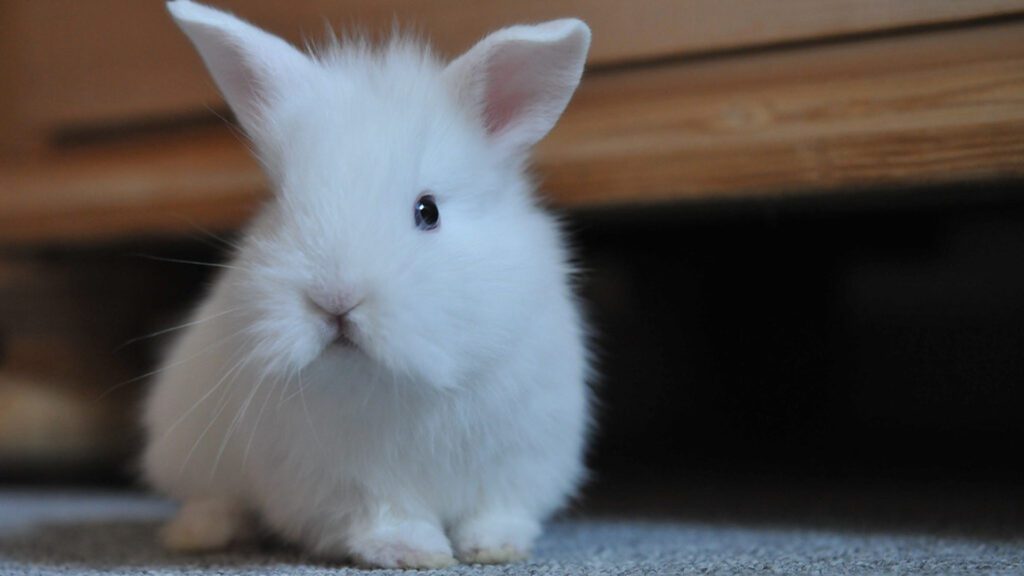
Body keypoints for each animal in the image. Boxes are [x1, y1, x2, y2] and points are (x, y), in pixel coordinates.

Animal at [142, 0, 592, 569]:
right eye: (281, 208)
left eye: (428, 211)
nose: (334, 301)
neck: (395, 383)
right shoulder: (344, 483)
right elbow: (382, 516)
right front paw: (414, 551)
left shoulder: (518, 457)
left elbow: (498, 509)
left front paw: (494, 547)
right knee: (210, 498)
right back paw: (199, 534)